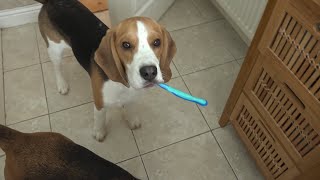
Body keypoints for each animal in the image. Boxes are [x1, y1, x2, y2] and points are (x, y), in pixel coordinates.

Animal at [36, 0, 176, 141]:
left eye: (157, 42)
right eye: (126, 45)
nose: (149, 72)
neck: (123, 83)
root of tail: (50, 2)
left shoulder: (132, 97)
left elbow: (130, 107)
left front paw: (131, 119)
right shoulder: (99, 103)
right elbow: (100, 119)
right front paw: (99, 132)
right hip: (54, 49)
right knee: (57, 68)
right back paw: (62, 85)